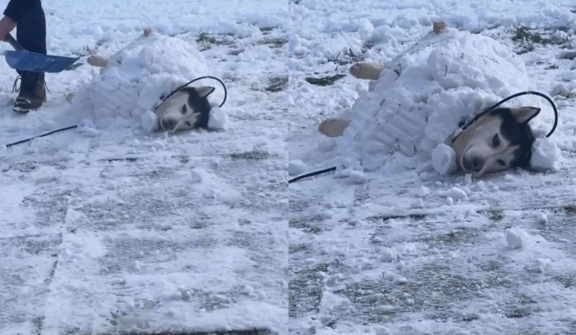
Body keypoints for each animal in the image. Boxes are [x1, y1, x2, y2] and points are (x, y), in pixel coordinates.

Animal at [320, 63, 540, 178]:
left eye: (501, 162)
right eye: (496, 140)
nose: (477, 164)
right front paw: (330, 126)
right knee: (392, 71)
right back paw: (362, 68)